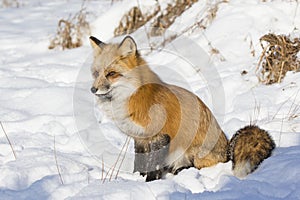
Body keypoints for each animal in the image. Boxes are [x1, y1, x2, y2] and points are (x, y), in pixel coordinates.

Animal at [88, 35, 274, 181]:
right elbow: (139, 163)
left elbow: (153, 165)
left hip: (193, 152)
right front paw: (136, 179)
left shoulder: (160, 135)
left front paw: (149, 182)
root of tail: (228, 149)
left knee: (196, 166)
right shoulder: (140, 138)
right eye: (96, 74)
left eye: (112, 74)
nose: (93, 90)